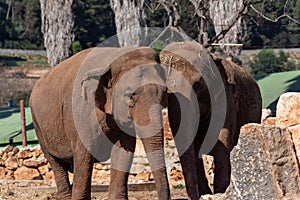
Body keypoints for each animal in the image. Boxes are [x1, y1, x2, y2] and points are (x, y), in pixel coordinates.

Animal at [30, 46, 171, 199]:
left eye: (164, 93)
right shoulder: (81, 112)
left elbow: (124, 150)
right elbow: (84, 155)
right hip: (38, 126)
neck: (113, 57)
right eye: (130, 96)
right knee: (55, 162)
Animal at [161, 41, 262, 199]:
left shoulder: (228, 98)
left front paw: (221, 192)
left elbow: (222, 140)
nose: (196, 196)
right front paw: (206, 193)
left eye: (198, 85)